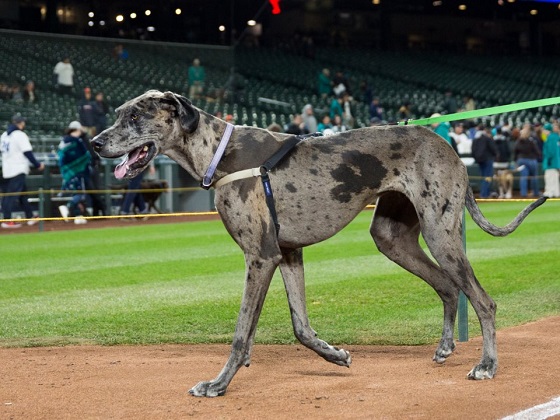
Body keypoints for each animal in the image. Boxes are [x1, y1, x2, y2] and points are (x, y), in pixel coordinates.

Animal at [92, 91, 548, 398]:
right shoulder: (288, 253)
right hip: (393, 238)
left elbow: (241, 332)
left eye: (135, 116)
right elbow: (300, 326)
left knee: (484, 301)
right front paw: (335, 355)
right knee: (448, 287)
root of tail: (448, 146)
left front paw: (219, 383)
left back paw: (486, 365)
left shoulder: (260, 256)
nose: (95, 143)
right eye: (117, 114)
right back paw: (445, 347)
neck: (219, 152)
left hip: (440, 232)